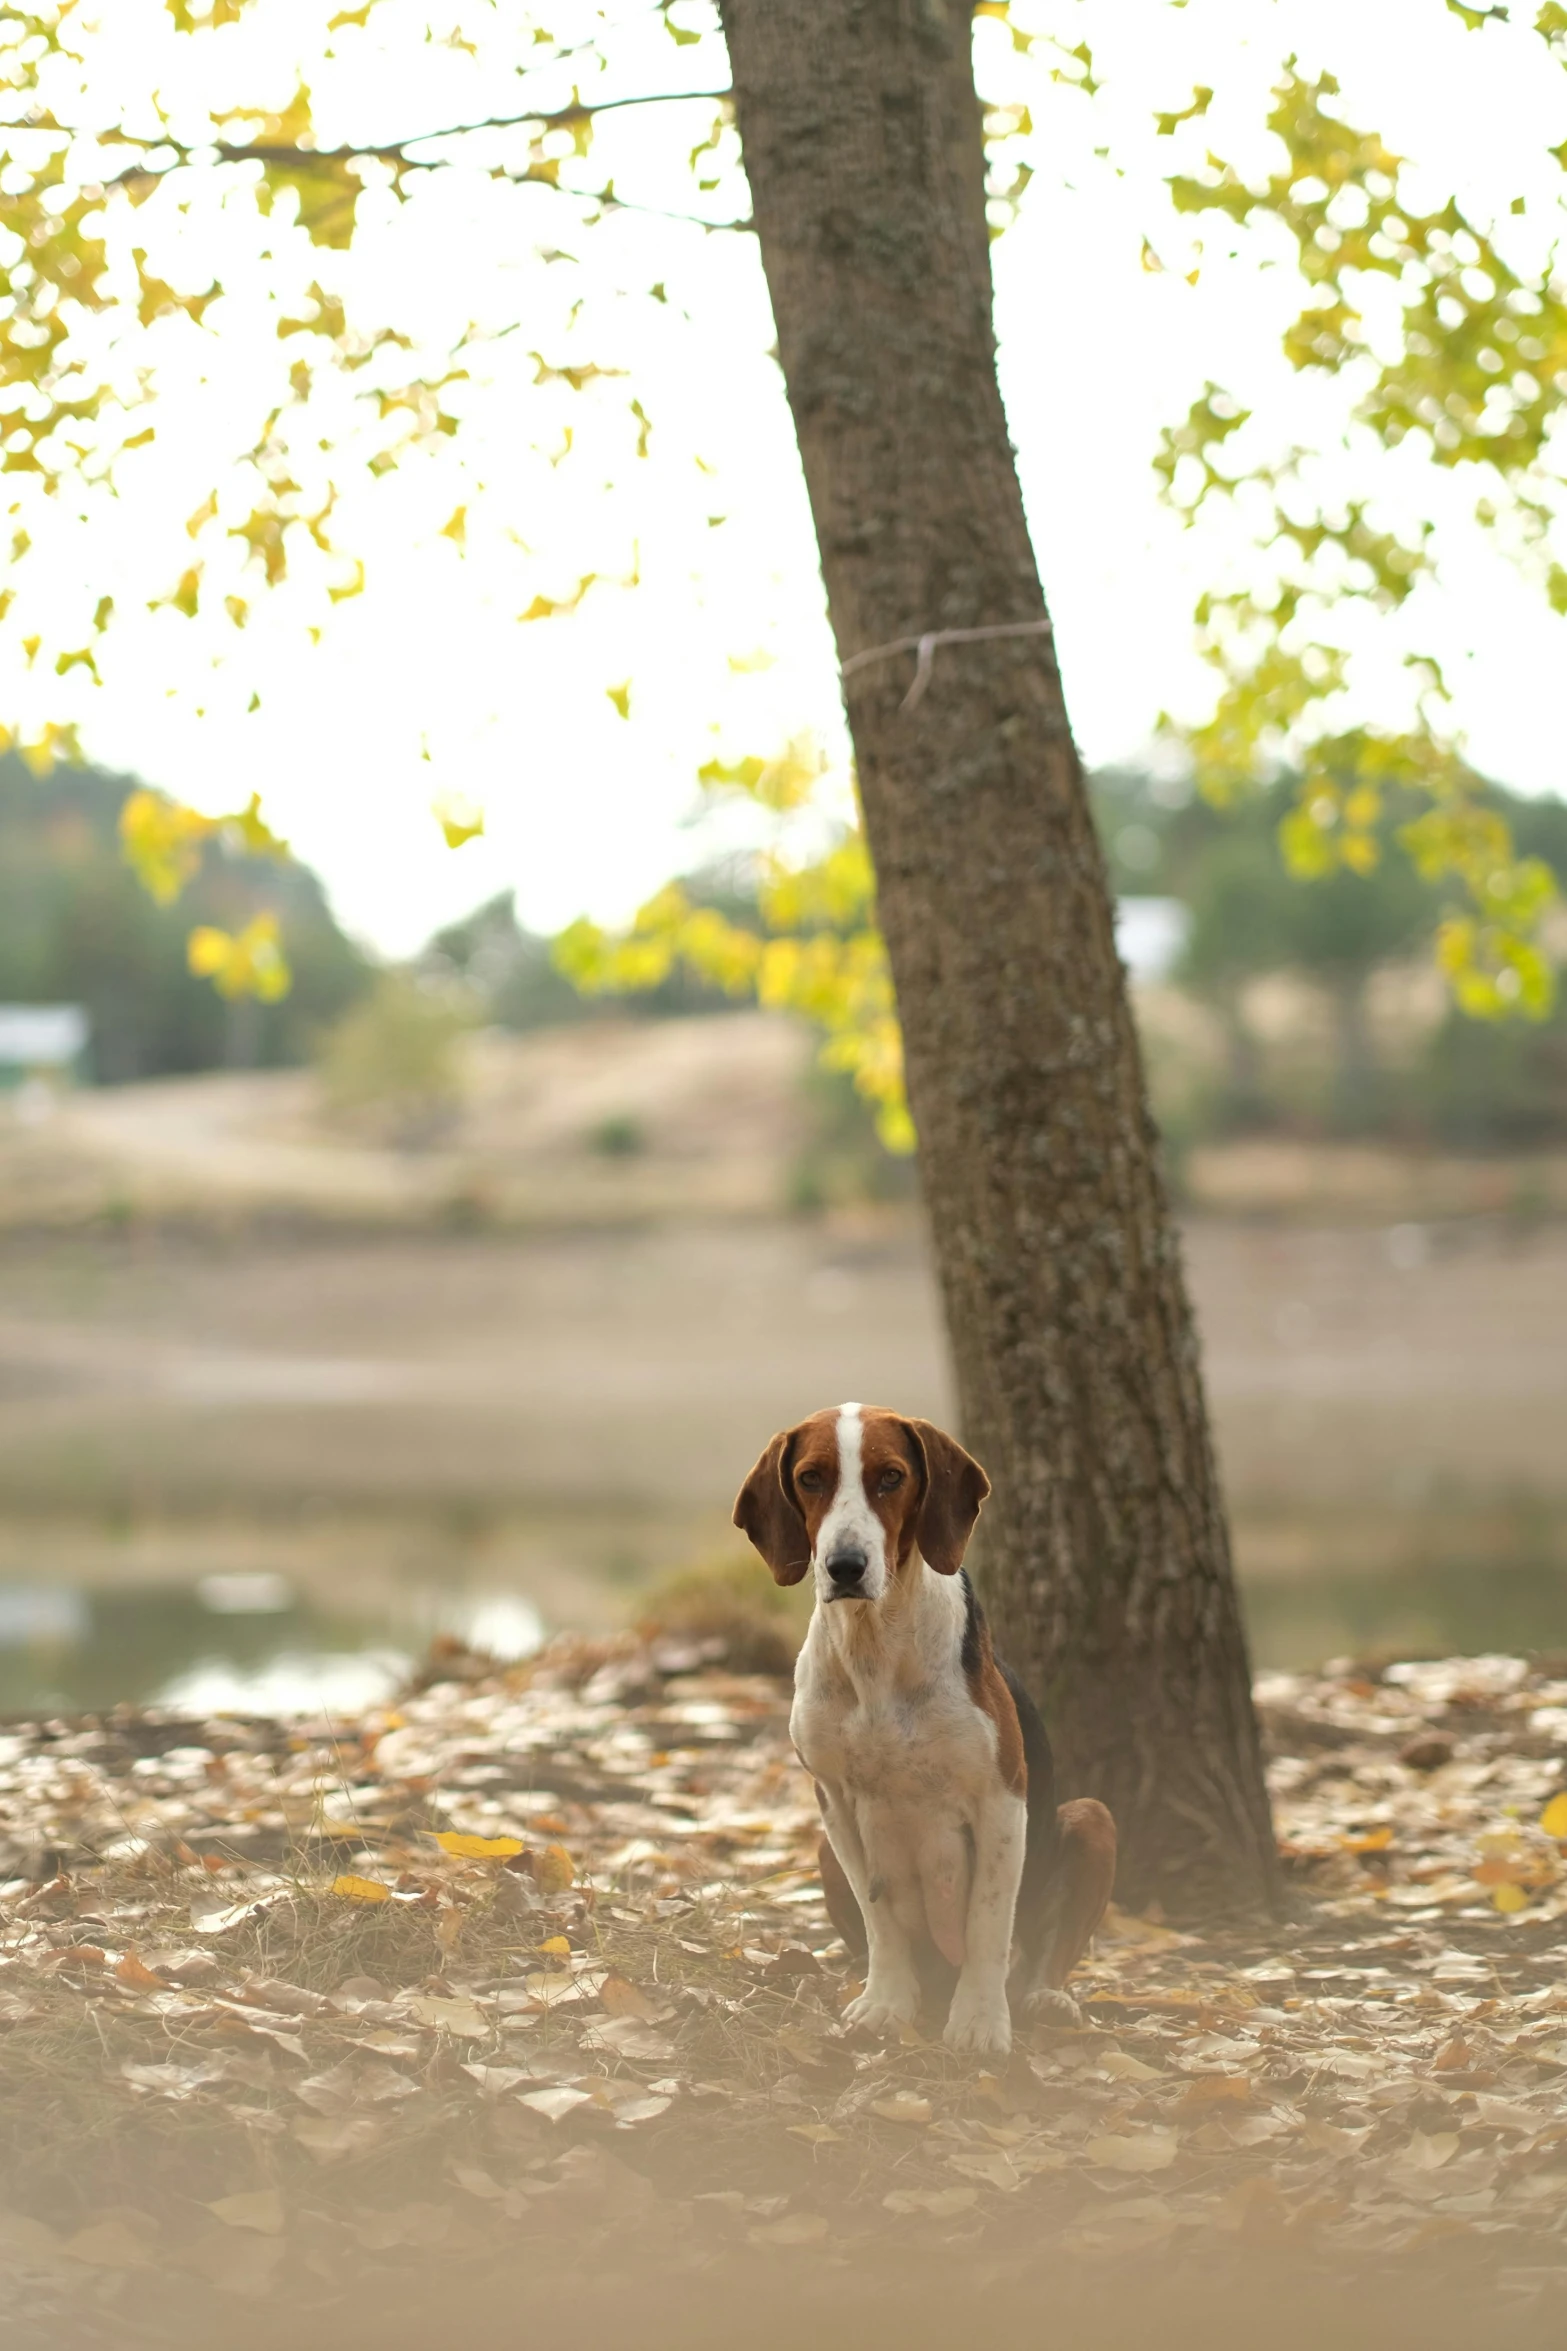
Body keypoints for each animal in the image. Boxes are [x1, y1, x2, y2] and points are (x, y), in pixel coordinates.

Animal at [737, 1401, 1113, 2050]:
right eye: (811, 1478)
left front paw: (981, 2020)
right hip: (825, 1848)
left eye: (891, 1477)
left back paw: (1045, 1998)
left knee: (1044, 1954)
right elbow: (879, 1918)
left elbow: (989, 1921)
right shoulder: (835, 1803)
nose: (845, 1566)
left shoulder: (1002, 1799)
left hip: (1093, 1818)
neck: (875, 1645)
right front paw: (887, 2002)